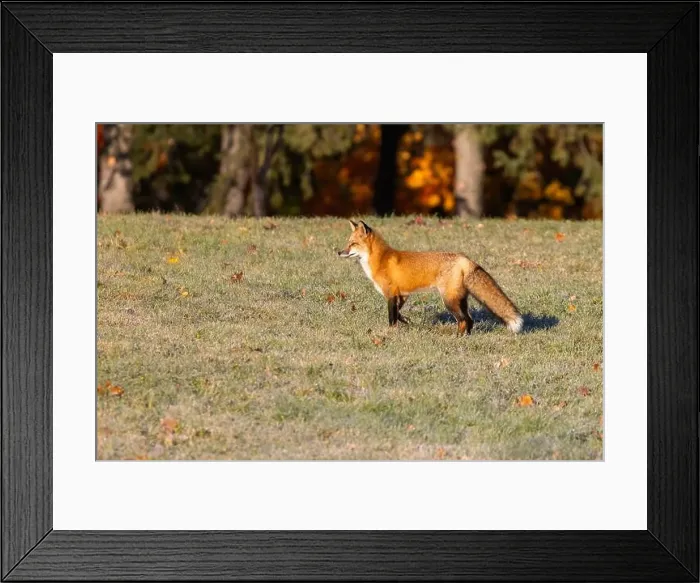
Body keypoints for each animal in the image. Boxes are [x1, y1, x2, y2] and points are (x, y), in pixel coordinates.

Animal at [337, 219, 523, 336]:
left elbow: (392, 317)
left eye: (352, 244)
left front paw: (391, 333)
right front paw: (406, 321)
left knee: (463, 320)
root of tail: (464, 258)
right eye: (347, 243)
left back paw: (457, 338)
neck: (380, 259)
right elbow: (398, 314)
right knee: (469, 320)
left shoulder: (391, 294)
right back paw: (465, 338)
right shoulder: (402, 294)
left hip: (449, 301)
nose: (339, 252)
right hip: (459, 299)